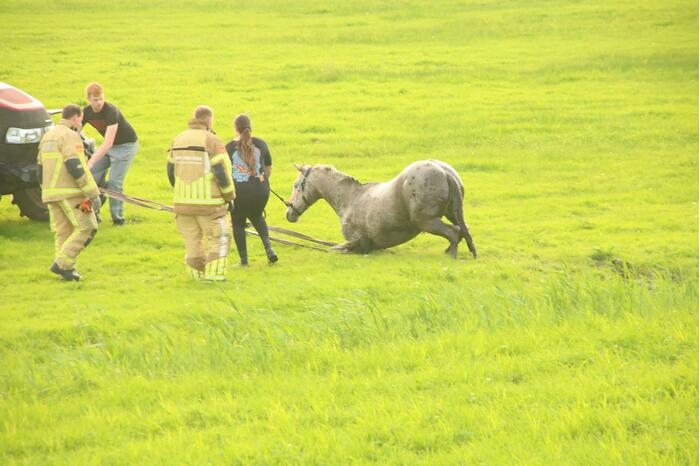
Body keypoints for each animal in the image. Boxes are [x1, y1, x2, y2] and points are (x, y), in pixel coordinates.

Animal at [285, 160, 477, 258]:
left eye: (296, 185)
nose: (289, 213)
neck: (350, 199)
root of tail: (445, 172)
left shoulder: (358, 244)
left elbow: (333, 249)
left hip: (427, 222)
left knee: (454, 233)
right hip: (450, 214)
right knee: (462, 232)